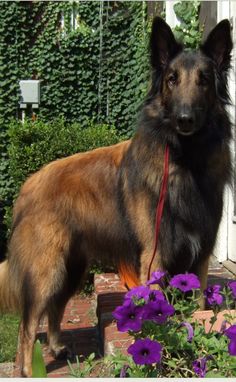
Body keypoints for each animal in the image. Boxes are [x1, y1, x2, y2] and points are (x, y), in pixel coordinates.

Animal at [0, 17, 232, 376]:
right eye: (171, 79)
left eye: (204, 80)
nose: (184, 118)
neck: (185, 160)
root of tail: (28, 184)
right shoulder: (154, 254)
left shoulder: (202, 256)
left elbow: (198, 309)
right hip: (47, 271)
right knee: (28, 323)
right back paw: (27, 369)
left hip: (72, 269)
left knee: (55, 309)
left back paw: (56, 347)